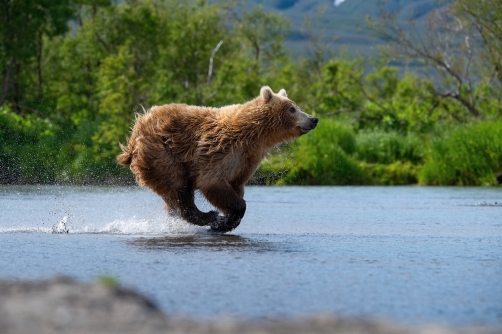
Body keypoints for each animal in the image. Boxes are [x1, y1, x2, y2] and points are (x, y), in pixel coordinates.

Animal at [117, 86, 318, 232]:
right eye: (292, 109)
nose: (313, 119)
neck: (255, 136)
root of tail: (134, 135)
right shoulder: (221, 150)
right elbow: (212, 182)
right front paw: (221, 221)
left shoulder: (247, 162)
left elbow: (236, 187)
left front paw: (226, 221)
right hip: (163, 154)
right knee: (178, 187)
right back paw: (208, 215)